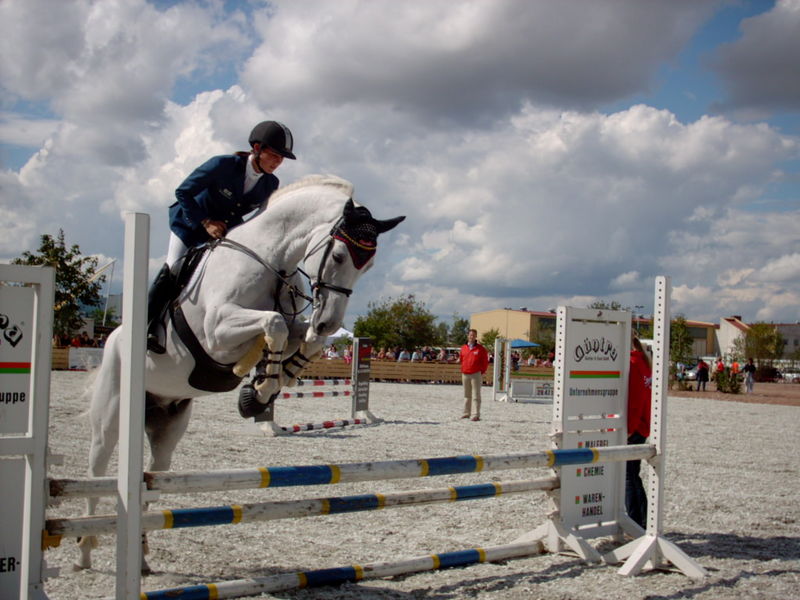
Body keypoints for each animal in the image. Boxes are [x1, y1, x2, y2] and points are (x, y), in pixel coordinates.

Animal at [77, 175, 404, 572]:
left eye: (367, 267)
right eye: (340, 256)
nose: (329, 321)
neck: (271, 261)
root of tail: (111, 339)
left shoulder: (288, 323)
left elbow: (304, 337)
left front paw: (275, 378)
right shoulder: (217, 333)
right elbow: (274, 323)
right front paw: (258, 391)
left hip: (167, 427)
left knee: (150, 482)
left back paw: (139, 557)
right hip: (111, 417)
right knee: (96, 473)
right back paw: (85, 551)